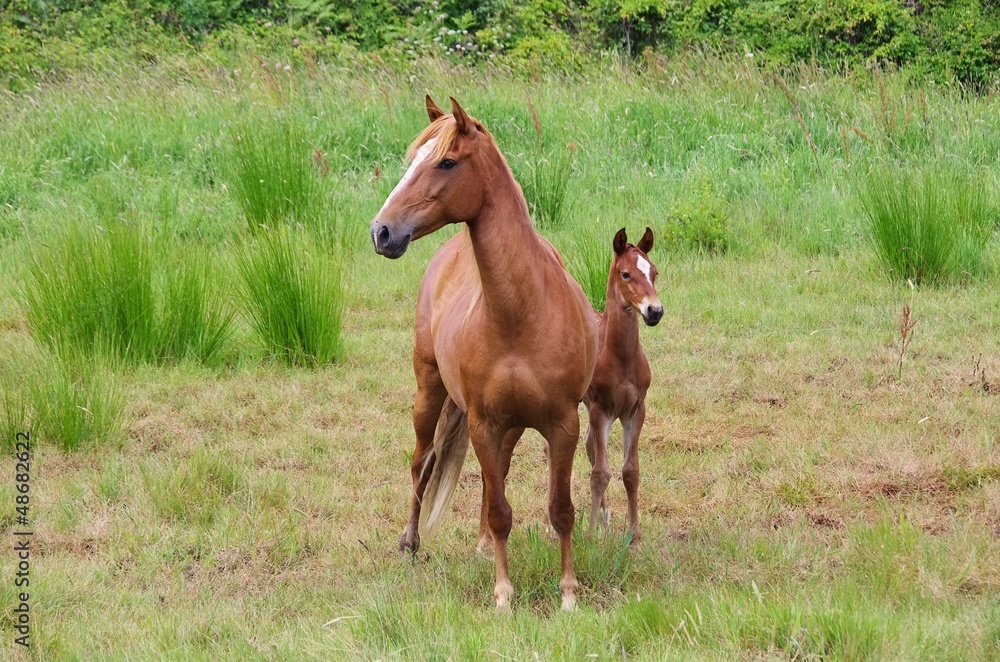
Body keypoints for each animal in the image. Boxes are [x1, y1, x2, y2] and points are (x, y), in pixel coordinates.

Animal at [369, 96, 597, 611]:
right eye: (413, 160)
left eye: (446, 162)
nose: (382, 231)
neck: (518, 314)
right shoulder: (483, 423)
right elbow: (499, 510)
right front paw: (503, 594)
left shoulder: (562, 425)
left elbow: (560, 509)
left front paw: (569, 593)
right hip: (430, 392)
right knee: (423, 462)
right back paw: (410, 543)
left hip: (507, 427)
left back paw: (478, 545)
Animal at [582, 227, 662, 543]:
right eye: (626, 274)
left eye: (654, 272)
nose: (655, 311)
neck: (621, 358)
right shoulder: (600, 410)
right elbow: (600, 473)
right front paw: (590, 536)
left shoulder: (635, 412)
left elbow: (631, 471)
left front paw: (634, 534)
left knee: (589, 447)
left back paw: (605, 517)